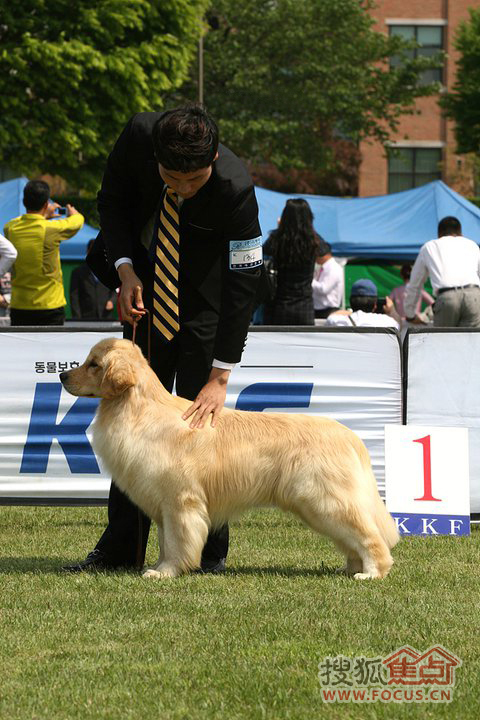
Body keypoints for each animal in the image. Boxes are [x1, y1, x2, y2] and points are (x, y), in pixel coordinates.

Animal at [59, 338, 398, 580]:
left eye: (94, 364)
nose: (62, 375)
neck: (137, 410)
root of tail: (351, 437)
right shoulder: (164, 505)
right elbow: (164, 540)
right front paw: (158, 565)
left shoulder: (180, 501)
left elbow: (177, 541)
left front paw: (165, 571)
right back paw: (351, 569)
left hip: (326, 501)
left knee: (371, 538)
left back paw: (371, 573)